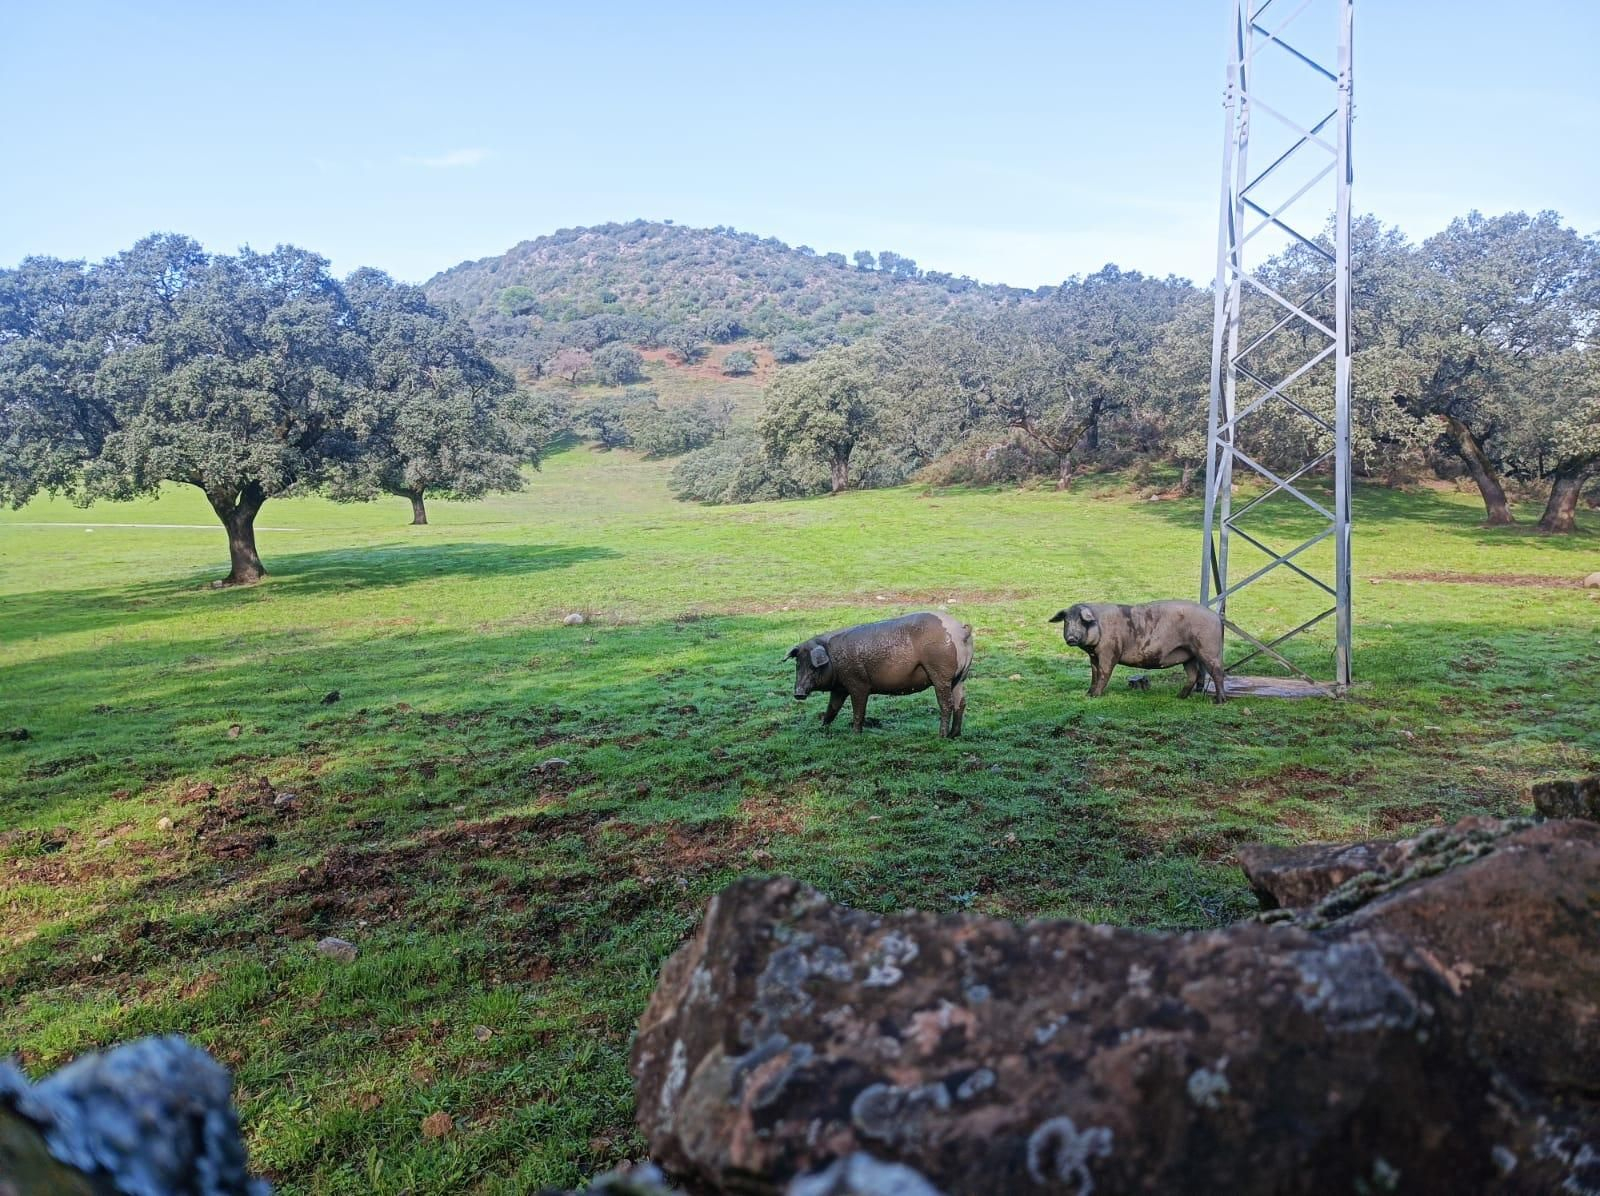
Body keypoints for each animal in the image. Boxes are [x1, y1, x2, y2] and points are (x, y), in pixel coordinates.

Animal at [787, 612, 974, 737]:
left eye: (813, 666)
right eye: (798, 664)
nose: (798, 693)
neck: (833, 658)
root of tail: (961, 630)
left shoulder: (858, 683)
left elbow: (859, 711)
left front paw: (855, 734)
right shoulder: (839, 689)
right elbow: (832, 709)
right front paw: (821, 729)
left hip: (941, 674)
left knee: (947, 704)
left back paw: (941, 736)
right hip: (961, 677)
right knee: (961, 702)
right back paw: (954, 735)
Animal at [1049, 600, 1226, 703]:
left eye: (1082, 621)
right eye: (1066, 621)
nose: (1071, 638)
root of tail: (1217, 617)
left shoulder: (1109, 651)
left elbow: (1104, 673)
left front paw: (1095, 696)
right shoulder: (1093, 657)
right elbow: (1094, 673)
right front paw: (1088, 694)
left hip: (1209, 649)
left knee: (1218, 673)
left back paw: (1219, 701)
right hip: (1188, 655)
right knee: (1193, 675)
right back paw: (1179, 697)